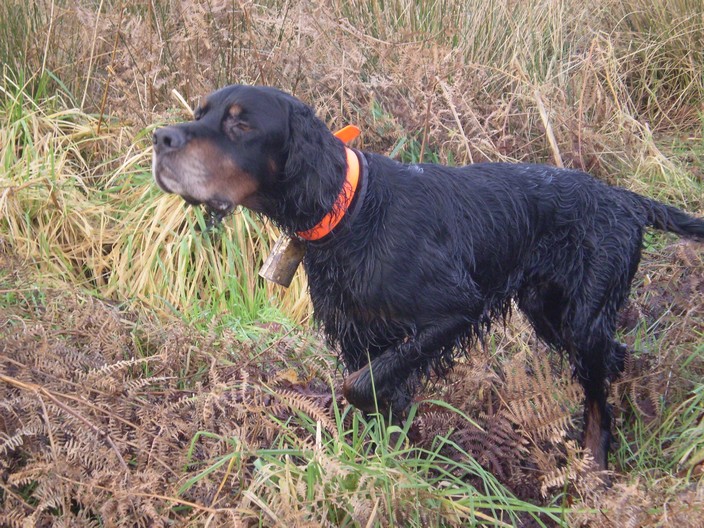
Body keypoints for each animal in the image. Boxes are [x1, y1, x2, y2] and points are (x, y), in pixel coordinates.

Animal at [154, 85, 704, 470]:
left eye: (241, 124)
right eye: (200, 113)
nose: (160, 138)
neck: (354, 210)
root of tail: (625, 200)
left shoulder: (453, 310)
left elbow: (360, 386)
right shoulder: (358, 333)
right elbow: (377, 392)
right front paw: (386, 458)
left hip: (580, 318)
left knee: (597, 389)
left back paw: (596, 462)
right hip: (549, 311)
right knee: (615, 355)